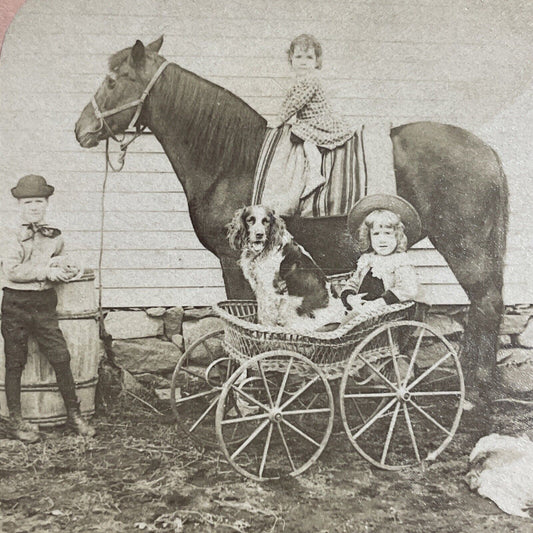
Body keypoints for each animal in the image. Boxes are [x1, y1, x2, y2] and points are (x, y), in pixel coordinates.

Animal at [74, 37, 508, 396]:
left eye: (113, 80)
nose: (81, 130)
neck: (230, 160)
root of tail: (486, 150)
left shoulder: (233, 263)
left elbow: (247, 324)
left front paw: (247, 388)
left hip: (467, 250)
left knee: (485, 303)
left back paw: (474, 387)